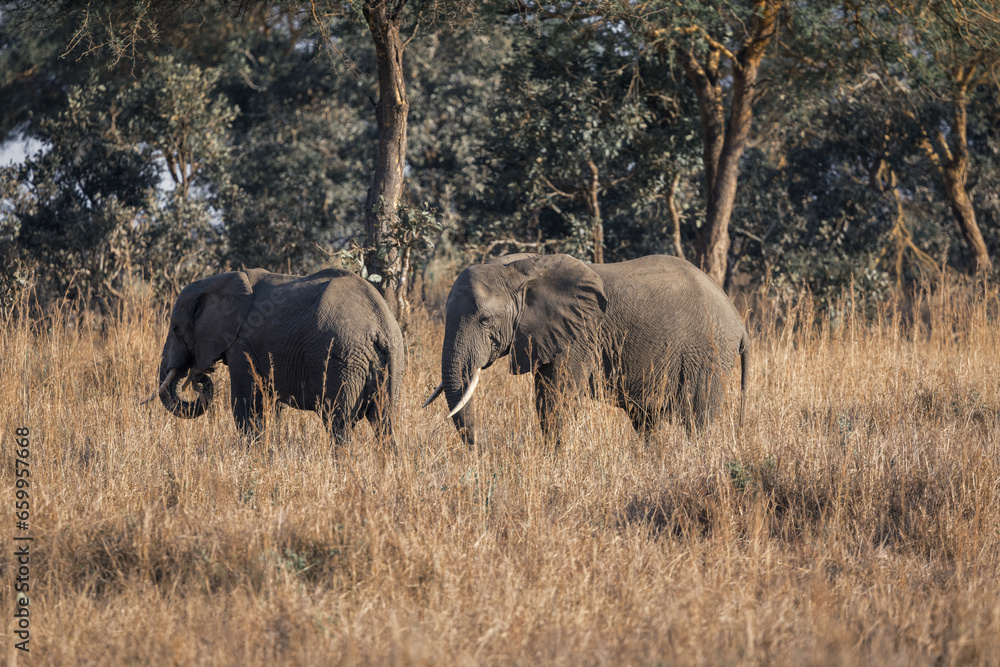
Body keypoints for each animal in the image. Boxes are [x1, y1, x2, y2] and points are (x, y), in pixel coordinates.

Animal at [155, 268, 403, 441]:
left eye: (175, 328)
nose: (198, 374)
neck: (223, 279)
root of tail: (380, 325)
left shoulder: (242, 345)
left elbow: (246, 406)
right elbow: (271, 406)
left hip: (341, 359)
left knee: (338, 422)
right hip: (389, 360)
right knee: (385, 421)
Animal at [424, 254, 749, 446]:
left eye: (485, 319)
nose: (483, 449)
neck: (517, 269)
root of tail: (738, 318)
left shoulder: (579, 335)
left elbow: (557, 397)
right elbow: (545, 395)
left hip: (709, 351)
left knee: (697, 415)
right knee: (647, 418)